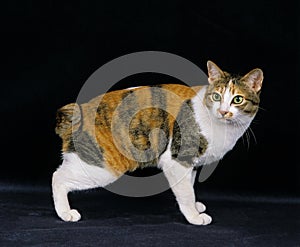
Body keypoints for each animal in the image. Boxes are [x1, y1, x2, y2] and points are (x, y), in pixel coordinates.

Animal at [52, 60, 264, 225]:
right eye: (217, 96)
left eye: (238, 99)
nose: (223, 112)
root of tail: (78, 111)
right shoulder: (176, 160)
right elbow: (186, 192)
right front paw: (194, 217)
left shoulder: (190, 166)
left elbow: (189, 185)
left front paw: (195, 208)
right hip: (103, 168)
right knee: (58, 177)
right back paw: (65, 213)